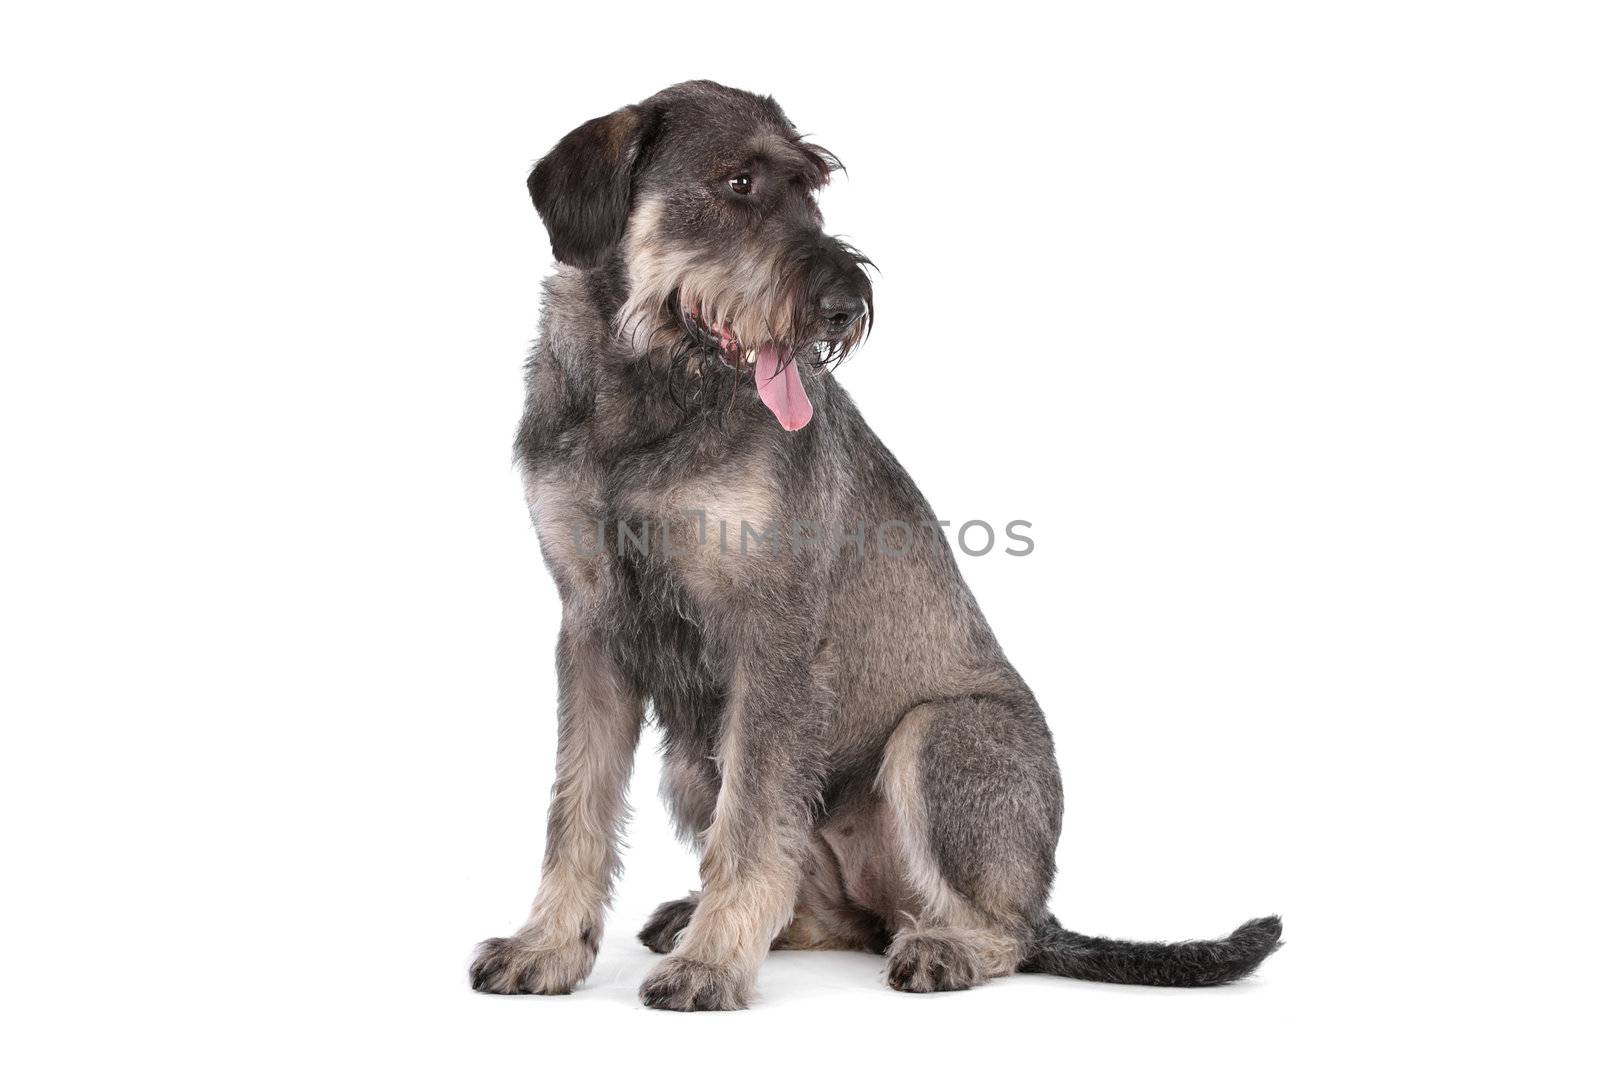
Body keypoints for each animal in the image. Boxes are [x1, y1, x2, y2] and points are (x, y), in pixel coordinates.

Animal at [467, 81, 1280, 1011]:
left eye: (812, 187)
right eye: (739, 181)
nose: (844, 305)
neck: (647, 397)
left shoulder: (770, 636)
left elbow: (750, 826)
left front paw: (712, 964)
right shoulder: (592, 631)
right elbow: (577, 809)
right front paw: (547, 945)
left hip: (938, 734)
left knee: (999, 929)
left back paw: (941, 946)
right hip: (693, 761)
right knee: (819, 905)